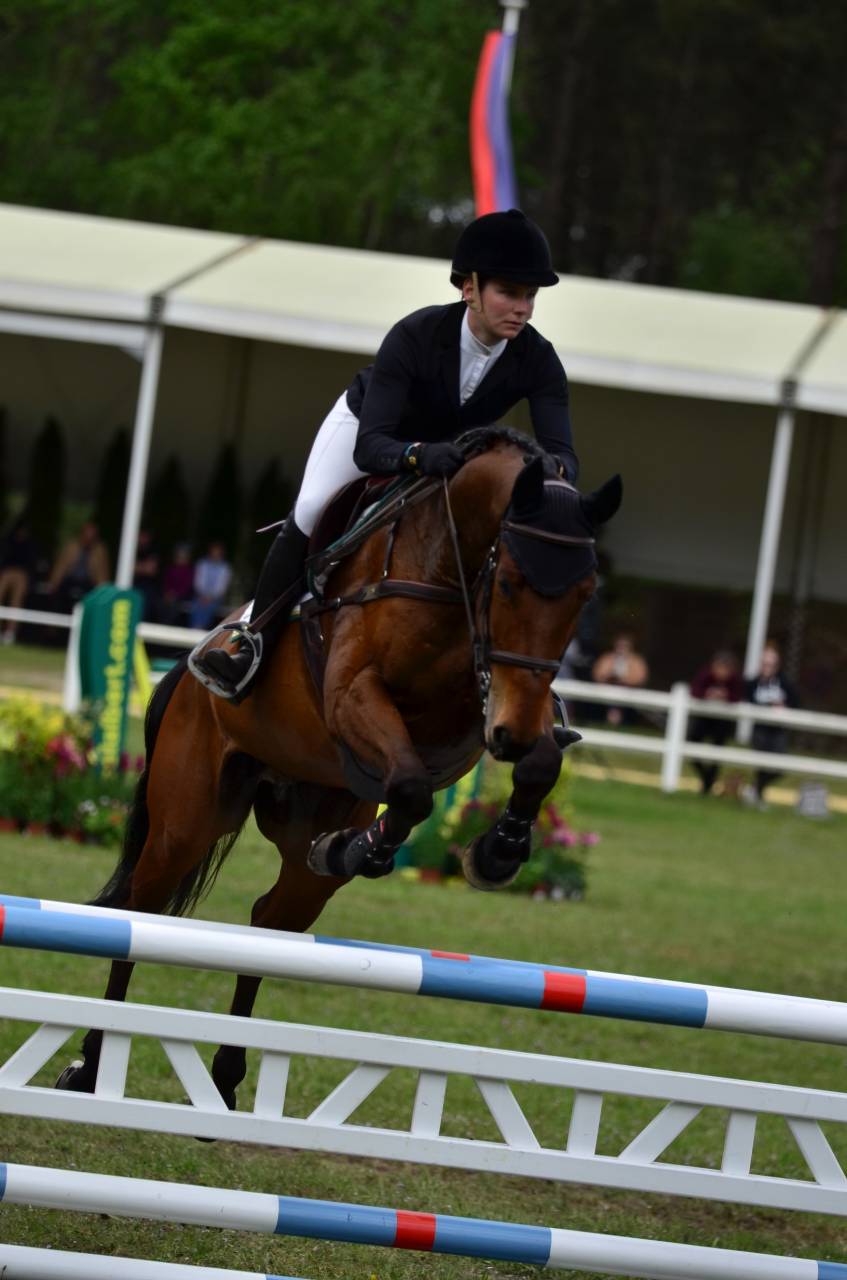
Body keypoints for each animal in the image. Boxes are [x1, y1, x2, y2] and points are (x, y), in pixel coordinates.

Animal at [56, 428, 621, 1108]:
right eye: (508, 583)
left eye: (586, 596)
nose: (508, 733)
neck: (446, 567)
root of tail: (190, 667)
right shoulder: (357, 694)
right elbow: (411, 788)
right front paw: (364, 849)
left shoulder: (498, 703)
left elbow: (535, 765)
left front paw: (498, 851)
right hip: (185, 823)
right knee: (144, 911)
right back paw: (91, 1064)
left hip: (304, 826)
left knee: (271, 923)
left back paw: (227, 1075)